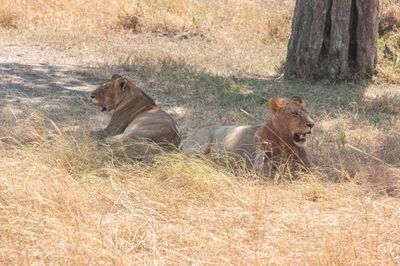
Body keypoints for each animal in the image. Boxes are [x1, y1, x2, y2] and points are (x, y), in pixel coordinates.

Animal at [182, 96, 316, 176]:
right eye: (295, 114)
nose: (312, 124)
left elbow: (313, 170)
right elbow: (273, 169)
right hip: (200, 145)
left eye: (307, 112)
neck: (286, 142)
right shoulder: (258, 165)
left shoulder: (309, 163)